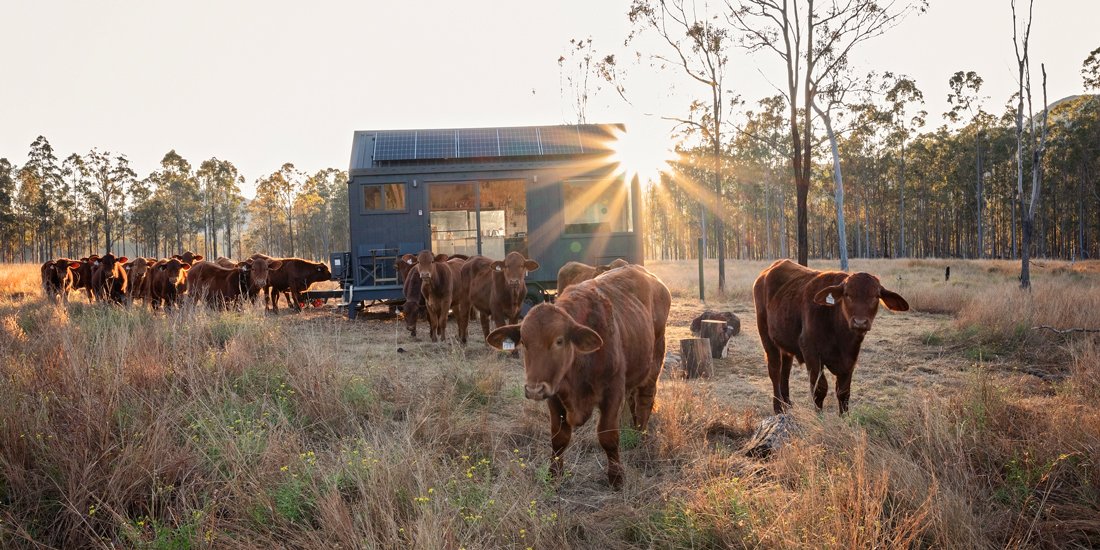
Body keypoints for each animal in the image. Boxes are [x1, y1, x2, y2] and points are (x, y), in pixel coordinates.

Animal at [488, 266, 668, 490]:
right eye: (525, 343)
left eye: (559, 341)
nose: (534, 389)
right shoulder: (554, 395)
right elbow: (559, 437)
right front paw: (554, 474)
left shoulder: (612, 392)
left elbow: (608, 436)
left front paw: (616, 477)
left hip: (654, 363)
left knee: (645, 401)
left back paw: (641, 441)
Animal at [756, 259, 910, 413]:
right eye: (847, 294)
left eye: (876, 296)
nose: (860, 322)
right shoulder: (810, 352)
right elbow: (820, 389)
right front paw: (819, 416)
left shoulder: (850, 360)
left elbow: (843, 392)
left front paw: (844, 417)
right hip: (766, 337)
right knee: (775, 370)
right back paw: (778, 408)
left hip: (785, 344)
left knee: (785, 371)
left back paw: (787, 403)